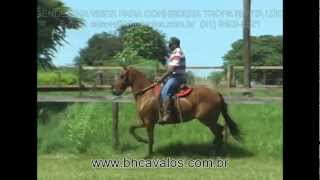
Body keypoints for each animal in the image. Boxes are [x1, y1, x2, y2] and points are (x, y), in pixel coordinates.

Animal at [111, 66, 241, 158]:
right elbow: (131, 128)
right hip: (209, 120)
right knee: (220, 131)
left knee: (219, 132)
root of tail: (217, 93)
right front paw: (143, 141)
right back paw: (215, 149)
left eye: (122, 76)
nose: (114, 91)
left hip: (207, 120)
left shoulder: (149, 122)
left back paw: (215, 152)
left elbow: (151, 138)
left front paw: (148, 154)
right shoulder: (145, 121)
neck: (146, 94)